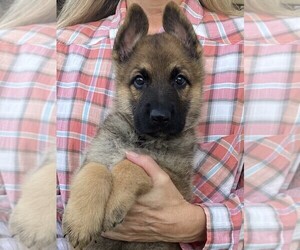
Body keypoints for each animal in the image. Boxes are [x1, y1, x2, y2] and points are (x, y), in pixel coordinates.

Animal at [63, 2, 204, 250]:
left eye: (179, 80)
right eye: (139, 80)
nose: (160, 117)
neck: (140, 140)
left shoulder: (178, 185)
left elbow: (130, 165)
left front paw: (115, 202)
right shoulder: (92, 158)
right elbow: (96, 169)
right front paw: (81, 221)